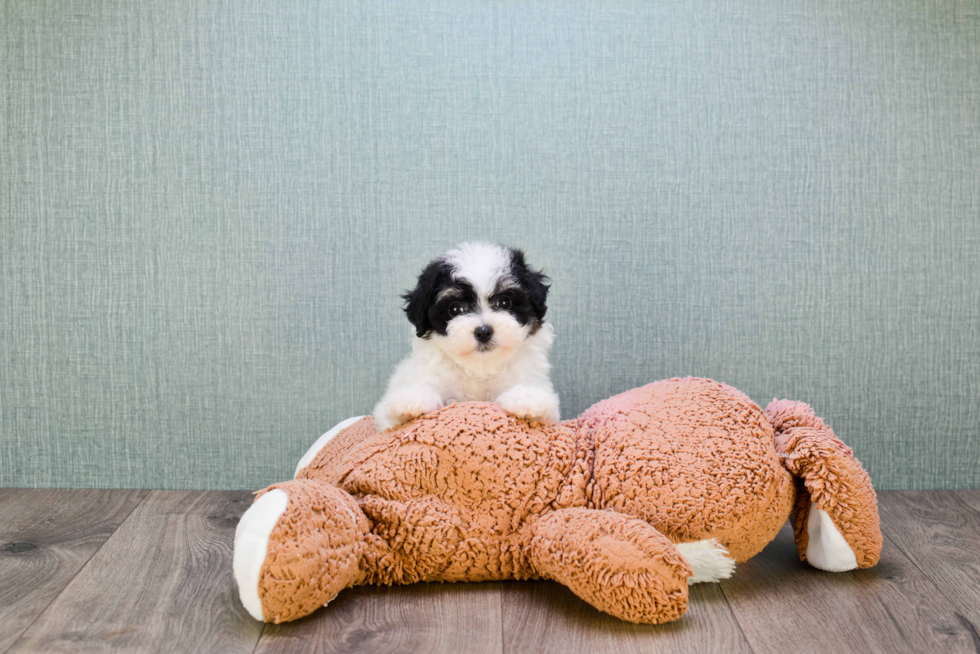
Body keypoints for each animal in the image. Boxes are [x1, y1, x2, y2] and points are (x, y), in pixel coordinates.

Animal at [374, 243, 564, 434]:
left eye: (504, 302)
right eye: (455, 309)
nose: (483, 332)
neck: (480, 369)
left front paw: (526, 399)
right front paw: (412, 400)